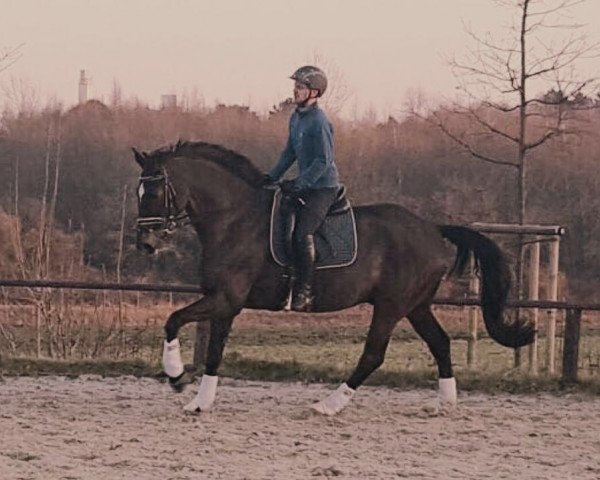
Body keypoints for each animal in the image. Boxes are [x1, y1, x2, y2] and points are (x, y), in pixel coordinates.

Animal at [134, 140, 532, 416]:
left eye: (154, 191)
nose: (145, 244)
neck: (234, 219)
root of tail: (433, 229)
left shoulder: (225, 299)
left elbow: (173, 320)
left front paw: (176, 376)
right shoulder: (225, 304)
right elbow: (214, 352)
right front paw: (199, 402)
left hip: (391, 306)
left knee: (373, 354)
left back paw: (329, 405)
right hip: (416, 305)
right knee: (441, 343)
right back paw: (444, 404)